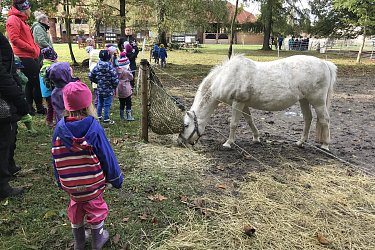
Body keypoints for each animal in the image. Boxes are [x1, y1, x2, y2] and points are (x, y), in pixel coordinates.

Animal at [179, 54, 338, 150]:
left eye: (186, 125)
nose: (180, 142)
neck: (226, 77)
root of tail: (324, 63)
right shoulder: (243, 104)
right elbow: (249, 121)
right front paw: (256, 138)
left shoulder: (237, 103)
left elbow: (233, 124)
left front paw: (228, 143)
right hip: (304, 100)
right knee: (308, 119)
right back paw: (300, 142)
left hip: (317, 101)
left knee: (325, 120)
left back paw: (325, 145)